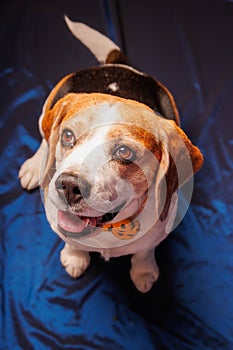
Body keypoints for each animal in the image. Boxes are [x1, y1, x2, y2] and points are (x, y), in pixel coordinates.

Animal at [18, 17, 204, 294]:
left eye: (124, 152)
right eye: (68, 136)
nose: (68, 186)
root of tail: (119, 65)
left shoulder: (156, 232)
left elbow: (144, 251)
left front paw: (144, 271)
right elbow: (71, 241)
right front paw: (75, 257)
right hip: (50, 102)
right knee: (43, 136)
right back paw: (34, 167)